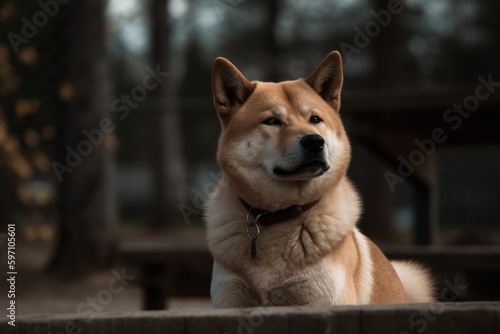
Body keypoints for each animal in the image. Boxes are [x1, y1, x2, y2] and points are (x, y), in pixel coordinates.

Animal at [205, 50, 432, 308]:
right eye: (272, 121)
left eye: (315, 119)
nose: (314, 141)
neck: (280, 216)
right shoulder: (231, 301)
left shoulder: (323, 300)